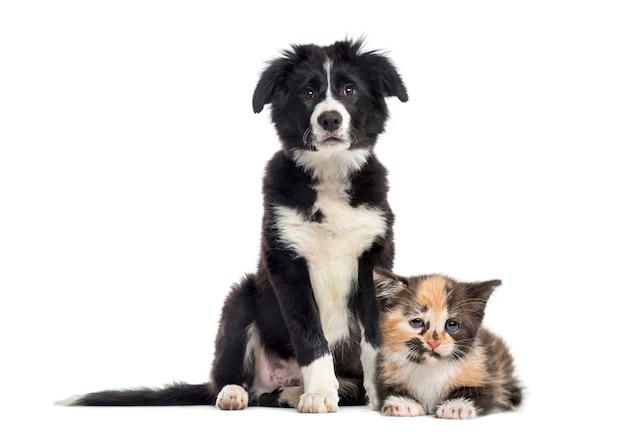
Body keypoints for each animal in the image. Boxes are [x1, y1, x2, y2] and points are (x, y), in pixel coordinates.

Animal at [58, 38, 408, 410]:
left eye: (349, 89)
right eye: (309, 92)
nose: (329, 118)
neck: (329, 173)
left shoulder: (374, 258)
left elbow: (375, 338)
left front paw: (387, 395)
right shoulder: (286, 263)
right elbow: (310, 336)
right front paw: (319, 394)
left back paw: (298, 391)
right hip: (239, 300)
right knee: (235, 379)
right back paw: (237, 393)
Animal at [370, 270, 520, 418]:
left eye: (452, 325)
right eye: (417, 322)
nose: (433, 343)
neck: (431, 367)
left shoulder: (486, 369)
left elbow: (484, 392)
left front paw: (457, 406)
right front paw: (403, 403)